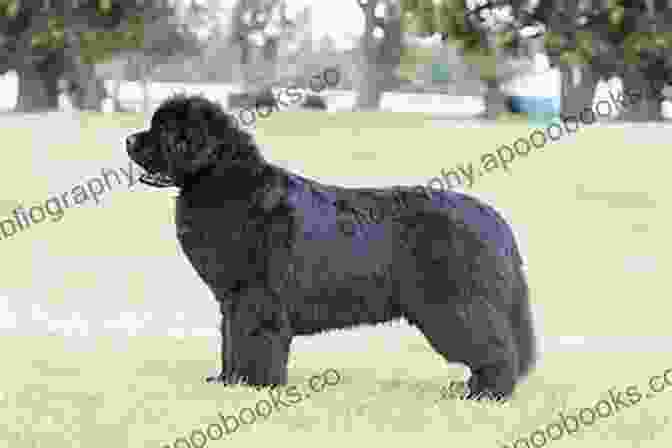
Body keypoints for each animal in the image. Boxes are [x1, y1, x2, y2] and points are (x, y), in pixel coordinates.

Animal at [124, 94, 536, 402]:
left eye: (165, 132)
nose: (128, 140)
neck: (221, 183)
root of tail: (493, 217)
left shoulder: (256, 295)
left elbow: (254, 338)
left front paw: (255, 385)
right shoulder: (233, 299)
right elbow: (231, 338)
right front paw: (229, 381)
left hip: (455, 303)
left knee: (495, 347)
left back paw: (487, 393)